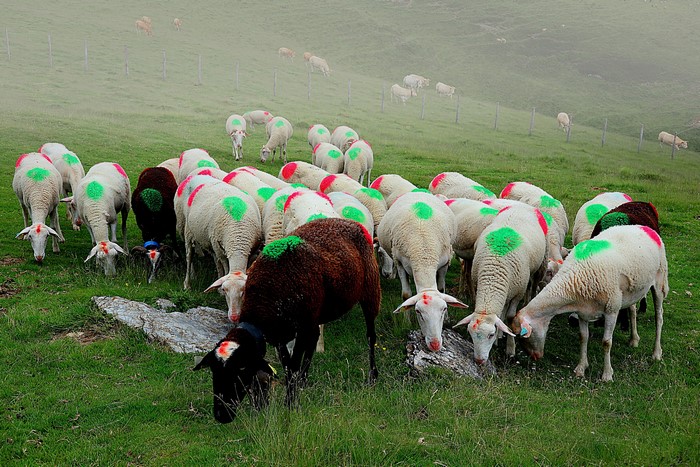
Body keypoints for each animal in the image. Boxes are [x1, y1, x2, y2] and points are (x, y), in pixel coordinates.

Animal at [182, 180, 263, 321]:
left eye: (244, 292)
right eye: (226, 290)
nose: (234, 317)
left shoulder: (251, 251)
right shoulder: (222, 252)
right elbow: (225, 267)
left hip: (211, 240)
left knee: (215, 259)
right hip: (190, 230)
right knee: (189, 256)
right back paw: (187, 284)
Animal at [194, 218, 381, 422]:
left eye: (241, 369)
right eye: (213, 371)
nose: (221, 415)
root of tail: (349, 222)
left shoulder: (299, 328)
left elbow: (292, 365)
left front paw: (290, 404)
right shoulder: (280, 334)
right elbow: (286, 364)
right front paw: (293, 390)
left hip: (371, 289)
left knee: (371, 336)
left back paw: (373, 376)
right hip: (315, 315)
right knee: (315, 338)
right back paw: (304, 380)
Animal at [377, 191, 467, 351]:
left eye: (444, 309)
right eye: (418, 312)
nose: (435, 345)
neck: (423, 250)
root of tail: (418, 191)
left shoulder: (444, 264)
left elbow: (442, 289)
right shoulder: (399, 263)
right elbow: (406, 295)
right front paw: (406, 322)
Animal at [453, 203, 548, 363]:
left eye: (489, 335)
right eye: (470, 333)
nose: (479, 360)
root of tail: (521, 205)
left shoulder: (518, 292)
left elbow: (510, 317)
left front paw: (510, 348)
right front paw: (500, 335)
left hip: (538, 266)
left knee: (532, 285)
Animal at [512, 225, 668, 382]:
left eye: (523, 336)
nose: (535, 357)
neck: (574, 281)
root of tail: (645, 228)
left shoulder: (611, 309)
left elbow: (606, 342)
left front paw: (607, 375)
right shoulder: (583, 311)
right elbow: (583, 337)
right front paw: (581, 368)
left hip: (659, 281)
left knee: (659, 318)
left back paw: (656, 353)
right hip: (631, 291)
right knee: (632, 310)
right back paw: (634, 339)